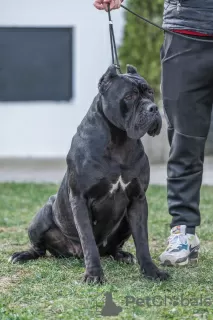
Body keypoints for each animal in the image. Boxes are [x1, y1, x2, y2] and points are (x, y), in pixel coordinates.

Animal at [9, 64, 170, 282]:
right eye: (129, 96)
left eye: (150, 93)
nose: (153, 108)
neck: (120, 141)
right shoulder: (80, 199)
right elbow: (88, 241)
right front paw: (94, 274)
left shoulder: (138, 200)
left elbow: (142, 241)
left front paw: (151, 271)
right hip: (42, 216)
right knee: (40, 249)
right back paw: (22, 254)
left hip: (125, 221)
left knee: (111, 248)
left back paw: (122, 255)